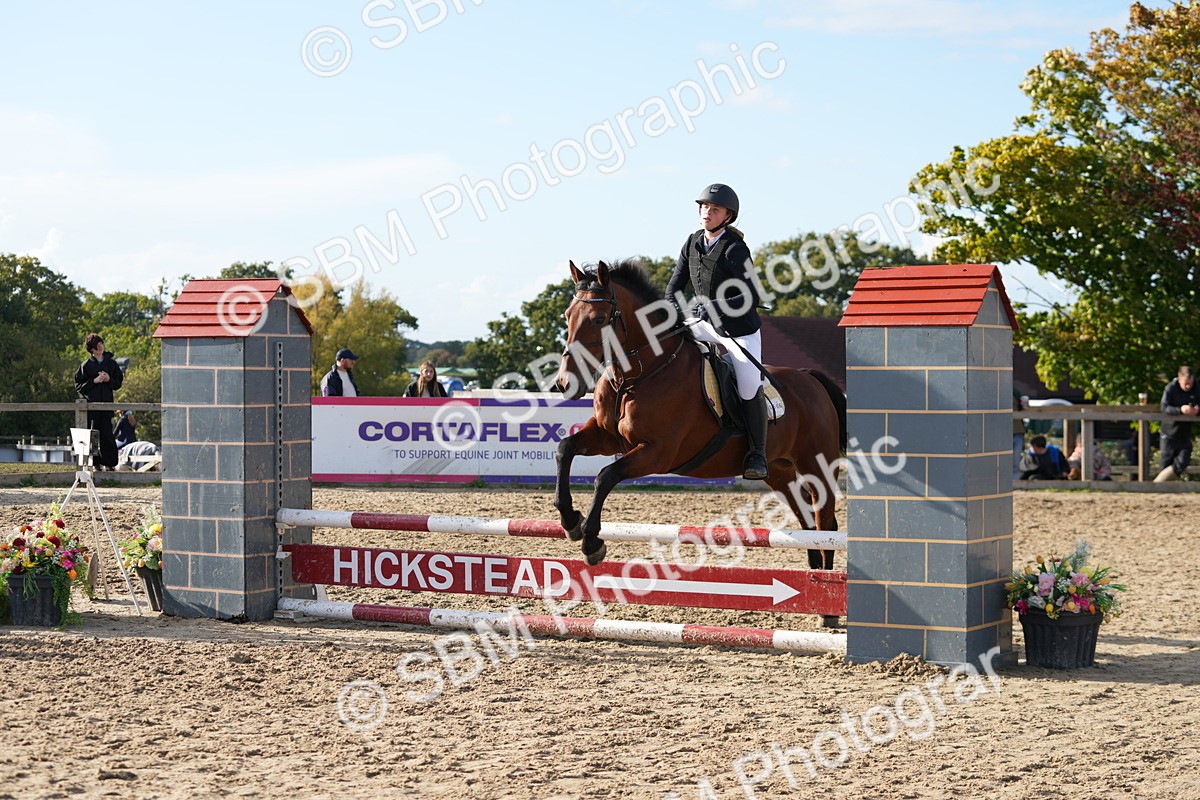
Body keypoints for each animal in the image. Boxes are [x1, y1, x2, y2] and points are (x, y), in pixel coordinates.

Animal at [553, 259, 847, 590]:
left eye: (599, 318)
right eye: (568, 315)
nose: (564, 383)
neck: (639, 374)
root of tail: (812, 379)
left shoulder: (657, 453)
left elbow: (605, 476)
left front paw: (591, 542)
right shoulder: (607, 437)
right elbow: (565, 448)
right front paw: (570, 521)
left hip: (817, 465)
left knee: (825, 522)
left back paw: (827, 588)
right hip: (779, 471)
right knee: (806, 518)